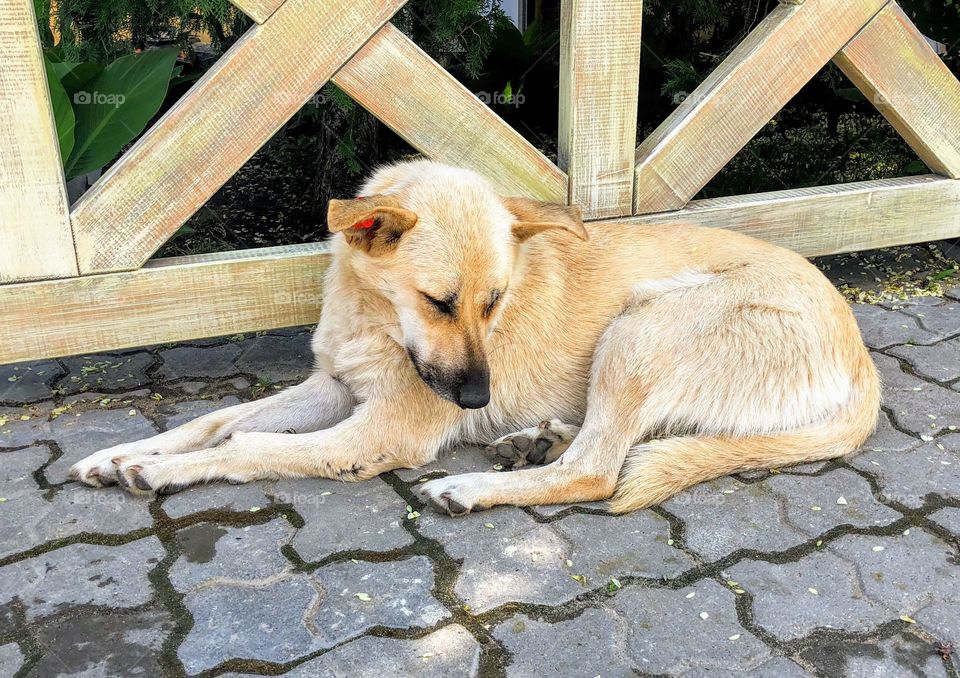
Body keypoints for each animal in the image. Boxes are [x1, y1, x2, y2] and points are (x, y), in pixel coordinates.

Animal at [71, 162, 880, 516]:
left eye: (496, 303)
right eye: (440, 302)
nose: (477, 400)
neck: (374, 318)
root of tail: (862, 357)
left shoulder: (382, 429)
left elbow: (247, 446)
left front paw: (164, 471)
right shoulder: (332, 387)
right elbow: (216, 419)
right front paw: (124, 452)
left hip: (641, 329)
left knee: (598, 470)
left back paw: (473, 484)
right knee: (601, 446)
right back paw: (535, 440)